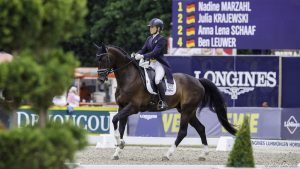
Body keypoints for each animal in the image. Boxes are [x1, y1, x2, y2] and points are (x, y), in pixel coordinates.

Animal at [95, 43, 236, 160]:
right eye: (98, 60)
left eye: (105, 59)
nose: (101, 79)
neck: (129, 78)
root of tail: (198, 81)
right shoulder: (122, 107)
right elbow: (120, 128)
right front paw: (118, 150)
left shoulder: (133, 107)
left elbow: (114, 120)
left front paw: (120, 144)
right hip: (188, 111)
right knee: (201, 128)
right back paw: (203, 154)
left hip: (187, 110)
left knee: (183, 132)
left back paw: (167, 154)